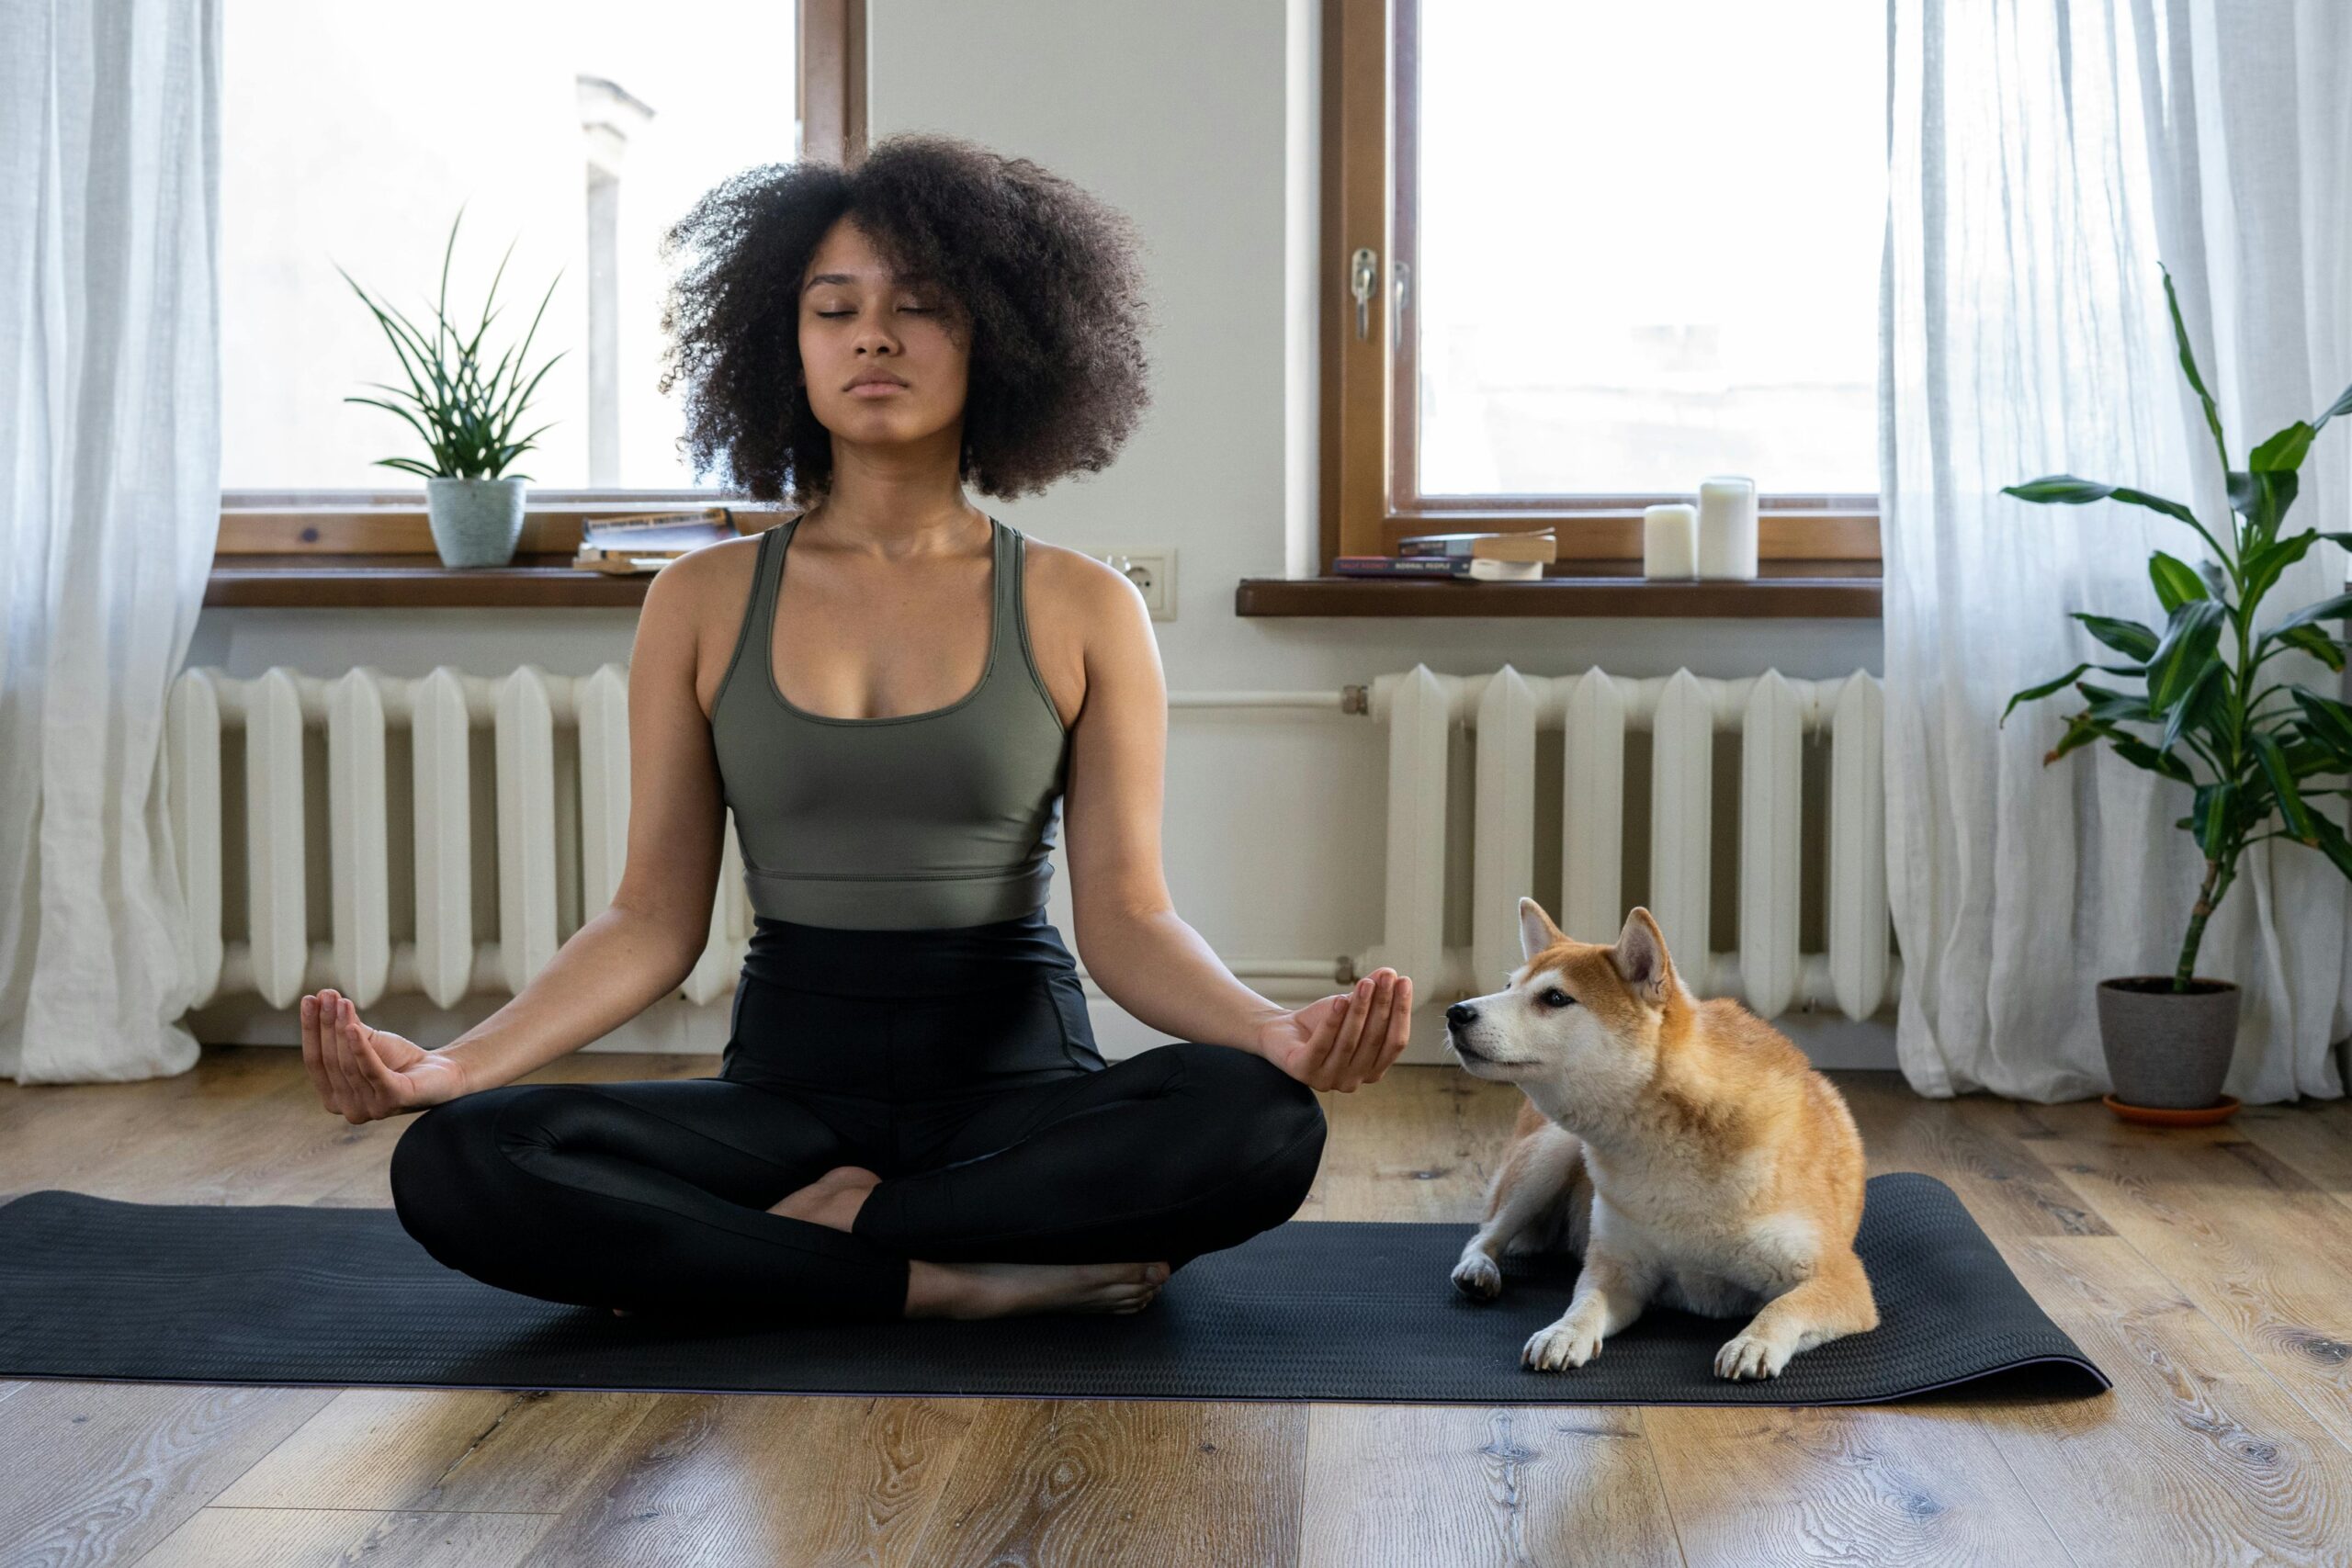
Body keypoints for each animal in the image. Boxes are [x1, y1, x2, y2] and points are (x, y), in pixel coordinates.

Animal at [1448, 902, 1871, 1382]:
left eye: (1555, 998)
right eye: (1508, 987)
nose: (1456, 1012)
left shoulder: (1841, 1279)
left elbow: (1783, 1307)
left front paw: (1753, 1342)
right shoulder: (1618, 1269)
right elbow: (1584, 1304)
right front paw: (1563, 1333)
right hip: (1549, 1155)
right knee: (1486, 1233)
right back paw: (1478, 1268)